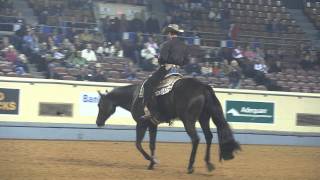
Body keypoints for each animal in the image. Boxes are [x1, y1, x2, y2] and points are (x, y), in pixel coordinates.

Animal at [96, 78, 239, 174]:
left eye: (99, 104)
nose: (98, 122)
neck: (135, 96)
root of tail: (202, 87)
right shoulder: (152, 125)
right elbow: (152, 145)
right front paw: (151, 165)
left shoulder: (141, 123)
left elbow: (138, 144)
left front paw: (153, 161)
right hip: (203, 118)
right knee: (208, 137)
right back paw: (208, 164)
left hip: (188, 120)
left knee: (195, 139)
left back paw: (190, 167)